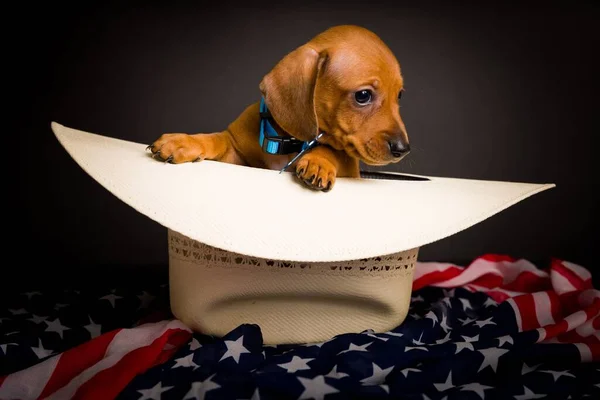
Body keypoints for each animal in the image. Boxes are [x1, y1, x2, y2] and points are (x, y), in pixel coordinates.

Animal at [149, 24, 410, 191]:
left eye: (399, 95)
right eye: (363, 95)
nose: (403, 149)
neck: (290, 143)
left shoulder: (349, 168)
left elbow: (333, 150)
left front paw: (319, 161)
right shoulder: (235, 155)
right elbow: (216, 139)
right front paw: (183, 141)